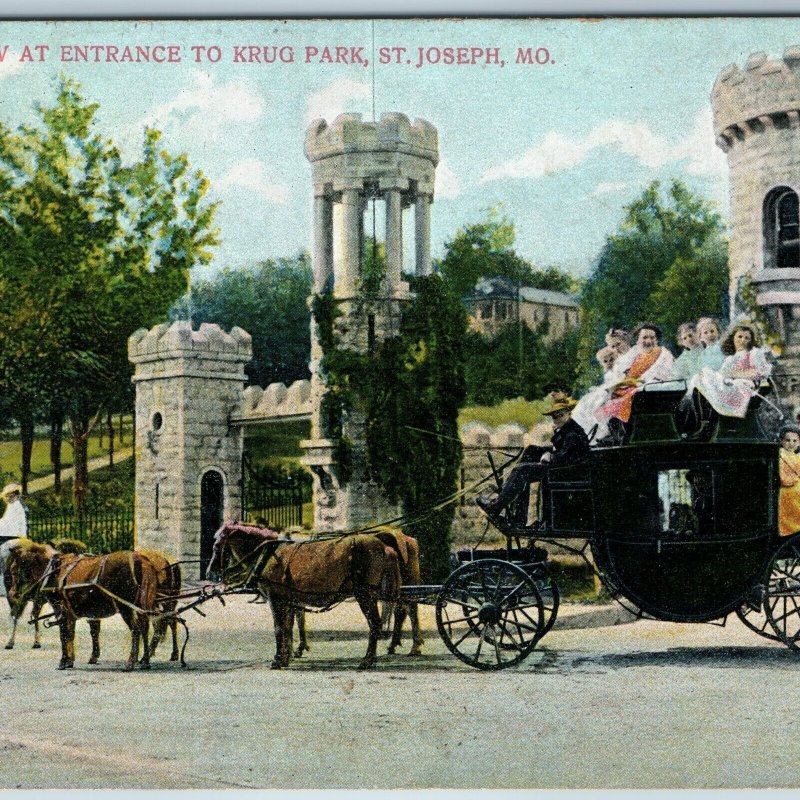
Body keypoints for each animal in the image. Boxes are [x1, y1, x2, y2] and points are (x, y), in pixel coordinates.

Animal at [209, 524, 404, 668]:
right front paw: (285, 657)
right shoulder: (287, 601)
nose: (210, 572)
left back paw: (368, 660)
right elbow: (287, 628)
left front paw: (278, 659)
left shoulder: (276, 599)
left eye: (217, 546)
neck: (268, 554)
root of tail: (382, 545)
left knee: (375, 624)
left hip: (364, 594)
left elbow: (279, 628)